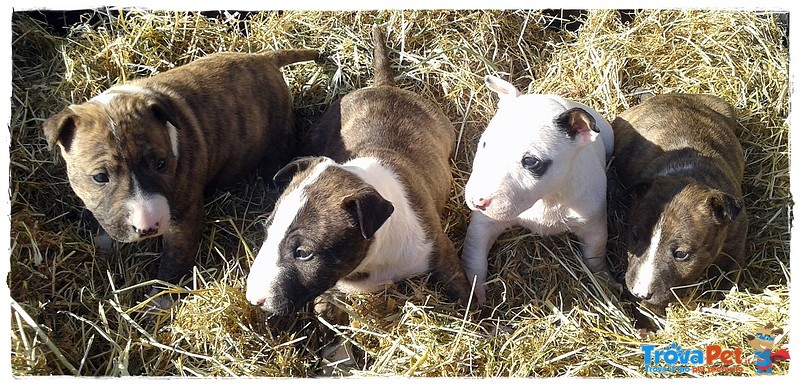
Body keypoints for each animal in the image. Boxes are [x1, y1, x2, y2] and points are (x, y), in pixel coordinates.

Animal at [43, 48, 318, 306]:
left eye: (161, 164)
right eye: (100, 177)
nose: (148, 227)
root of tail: (264, 58)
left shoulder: (183, 219)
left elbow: (175, 257)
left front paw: (160, 299)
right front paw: (102, 239)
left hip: (278, 136)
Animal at [247, 26, 472, 316]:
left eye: (304, 253)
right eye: (267, 230)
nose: (254, 299)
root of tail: (385, 86)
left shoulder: (441, 252)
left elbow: (461, 288)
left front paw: (477, 316)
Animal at [462, 75, 612, 304]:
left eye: (531, 162)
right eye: (485, 144)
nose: (477, 201)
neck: (547, 198)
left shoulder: (593, 225)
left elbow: (595, 256)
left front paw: (606, 281)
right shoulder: (484, 223)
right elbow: (474, 256)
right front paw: (477, 295)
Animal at [612, 94, 752, 310]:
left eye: (681, 254)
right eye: (634, 236)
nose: (639, 292)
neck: (689, 175)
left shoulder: (735, 247)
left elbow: (725, 282)